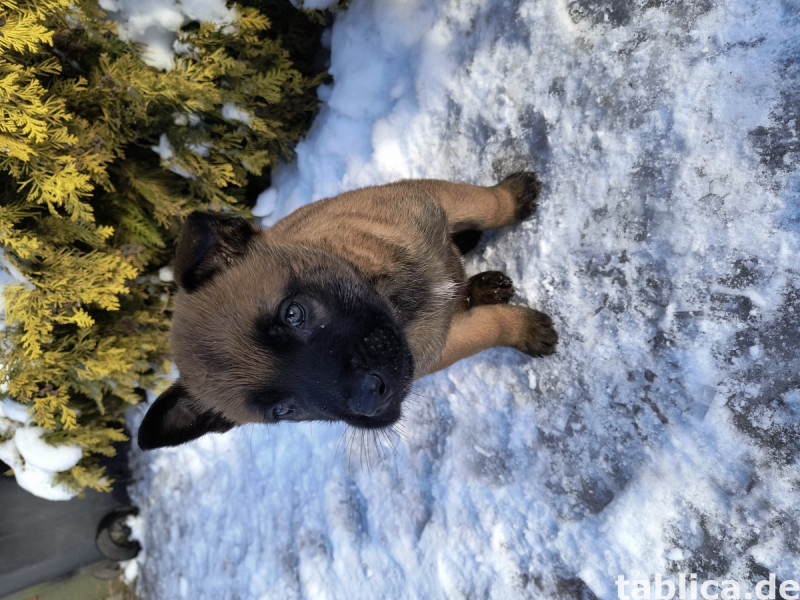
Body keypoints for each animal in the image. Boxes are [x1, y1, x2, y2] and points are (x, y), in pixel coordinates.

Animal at [138, 173, 556, 450]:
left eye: (293, 314)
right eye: (283, 410)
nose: (371, 400)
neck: (391, 297)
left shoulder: (431, 196)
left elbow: (485, 204)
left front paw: (511, 198)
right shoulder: (438, 348)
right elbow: (487, 328)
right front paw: (524, 329)